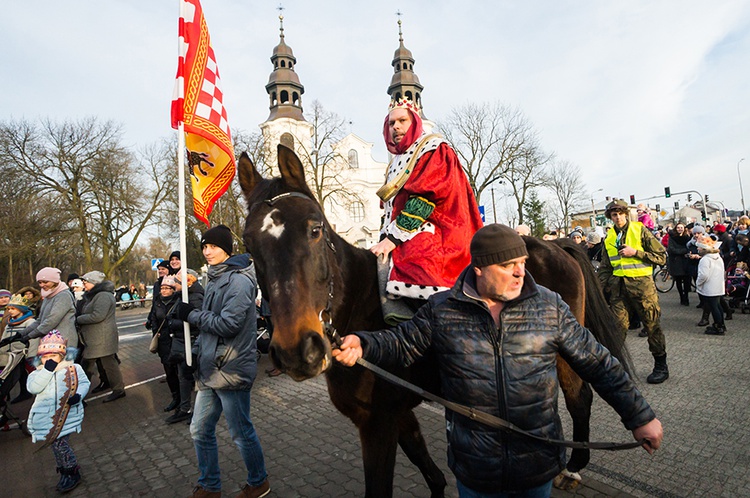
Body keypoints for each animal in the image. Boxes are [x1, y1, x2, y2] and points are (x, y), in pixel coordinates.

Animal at [241, 143, 636, 494]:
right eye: (250, 244)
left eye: (315, 229)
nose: (296, 351)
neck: (357, 307)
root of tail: (555, 245)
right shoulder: (398, 414)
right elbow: (427, 466)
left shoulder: (377, 423)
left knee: (579, 397)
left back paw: (572, 468)